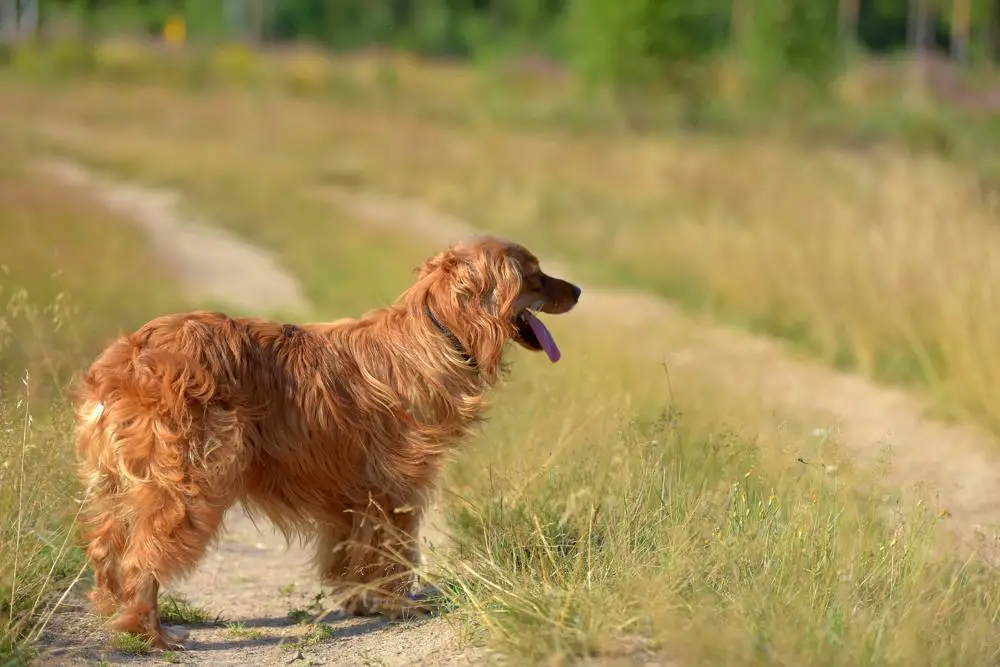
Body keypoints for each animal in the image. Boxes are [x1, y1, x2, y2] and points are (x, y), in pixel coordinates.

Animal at [74, 235, 584, 648]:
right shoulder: (399, 484)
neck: (436, 333)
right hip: (188, 482)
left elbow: (351, 552)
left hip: (116, 484)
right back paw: (151, 634)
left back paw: (112, 609)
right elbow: (396, 553)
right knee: (142, 559)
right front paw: (399, 605)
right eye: (534, 273)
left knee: (105, 549)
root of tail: (130, 356)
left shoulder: (352, 493)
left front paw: (359, 600)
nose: (579, 290)